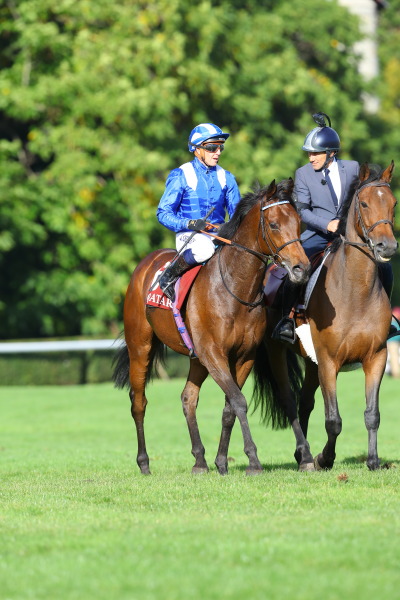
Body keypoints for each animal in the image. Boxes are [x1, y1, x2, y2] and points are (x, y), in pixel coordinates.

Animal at [111, 177, 310, 474]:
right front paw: (253, 459)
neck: (235, 289)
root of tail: (145, 264)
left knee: (188, 398)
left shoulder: (243, 356)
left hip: (196, 357)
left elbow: (230, 407)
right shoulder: (214, 353)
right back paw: (144, 463)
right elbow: (238, 401)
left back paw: (200, 461)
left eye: (298, 223)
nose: (301, 268)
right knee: (139, 402)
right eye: (274, 224)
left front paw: (222, 462)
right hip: (141, 346)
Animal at [253, 162, 396, 472]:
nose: (387, 247)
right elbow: (334, 420)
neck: (355, 291)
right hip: (278, 352)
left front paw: (373, 461)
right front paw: (324, 458)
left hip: (311, 361)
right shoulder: (329, 362)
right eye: (364, 204)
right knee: (290, 400)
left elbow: (372, 415)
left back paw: (302, 455)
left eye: (393, 203)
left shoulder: (376, 357)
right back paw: (306, 456)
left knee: (305, 401)